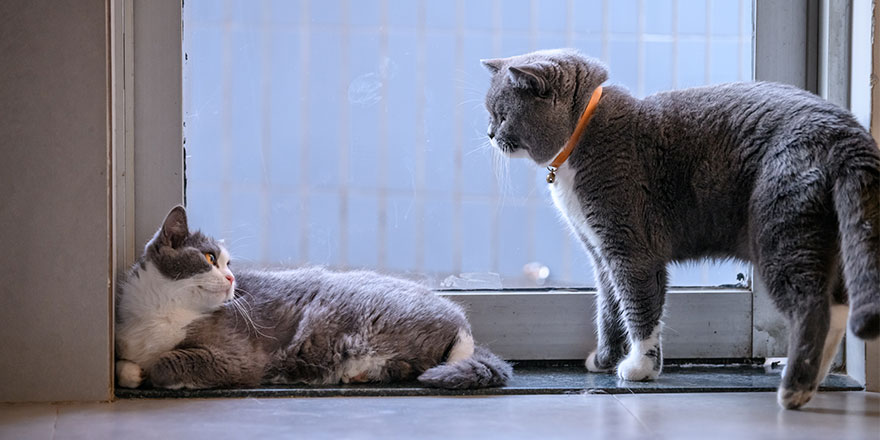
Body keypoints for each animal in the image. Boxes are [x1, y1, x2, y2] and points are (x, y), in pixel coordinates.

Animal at [119, 205, 512, 388]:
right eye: (210, 259)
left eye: (228, 262)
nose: (231, 278)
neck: (162, 313)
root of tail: (460, 321)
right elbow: (126, 364)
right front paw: (131, 372)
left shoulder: (236, 358)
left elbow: (168, 361)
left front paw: (149, 372)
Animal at [482, 48, 880, 410]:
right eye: (491, 115)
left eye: (501, 115)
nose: (488, 134)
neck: (583, 132)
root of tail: (845, 131)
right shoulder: (601, 254)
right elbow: (608, 309)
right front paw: (605, 360)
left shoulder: (630, 248)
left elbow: (639, 306)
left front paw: (640, 367)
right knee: (836, 308)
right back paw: (812, 381)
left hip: (781, 232)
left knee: (812, 308)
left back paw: (793, 390)